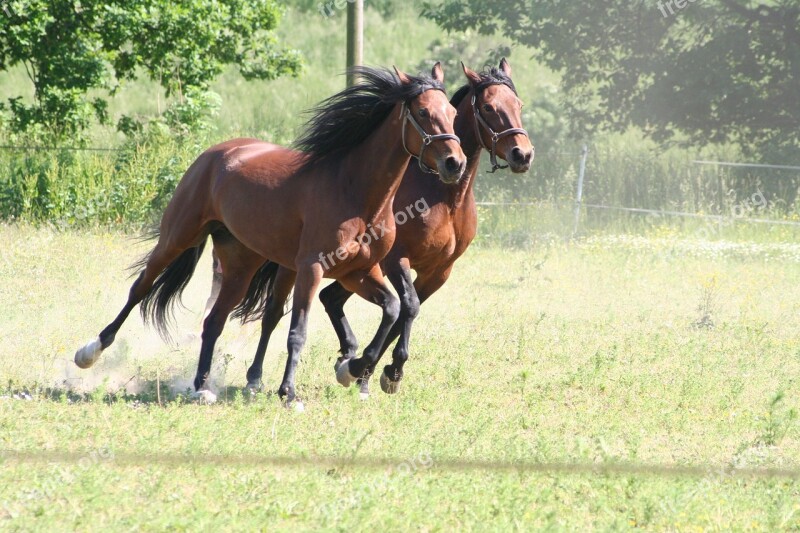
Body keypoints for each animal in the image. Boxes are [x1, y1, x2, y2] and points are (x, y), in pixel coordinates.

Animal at [76, 63, 466, 404]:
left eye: (451, 111)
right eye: (422, 111)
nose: (455, 163)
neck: (355, 192)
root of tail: (216, 153)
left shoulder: (359, 272)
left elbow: (393, 307)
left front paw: (353, 369)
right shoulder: (313, 268)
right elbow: (298, 331)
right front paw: (290, 393)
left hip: (240, 264)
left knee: (214, 320)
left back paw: (202, 387)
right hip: (177, 238)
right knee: (141, 287)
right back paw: (90, 351)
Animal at [216, 60, 536, 396]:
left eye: (518, 105)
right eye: (488, 107)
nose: (523, 154)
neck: (445, 198)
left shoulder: (438, 271)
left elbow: (406, 311)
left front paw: (370, 371)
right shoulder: (396, 260)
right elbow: (409, 307)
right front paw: (384, 371)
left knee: (328, 299)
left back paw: (347, 358)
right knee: (278, 312)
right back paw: (258, 377)